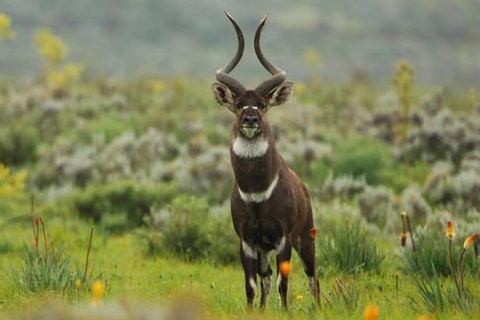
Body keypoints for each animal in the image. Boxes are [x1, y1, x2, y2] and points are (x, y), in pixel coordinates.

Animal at [211, 12, 320, 310]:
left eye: (262, 104)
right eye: (239, 104)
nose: (250, 120)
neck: (257, 192)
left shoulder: (283, 239)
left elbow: (285, 283)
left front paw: (286, 313)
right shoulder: (248, 241)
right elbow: (251, 285)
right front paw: (254, 312)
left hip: (306, 239)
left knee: (312, 277)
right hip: (264, 250)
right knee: (266, 278)